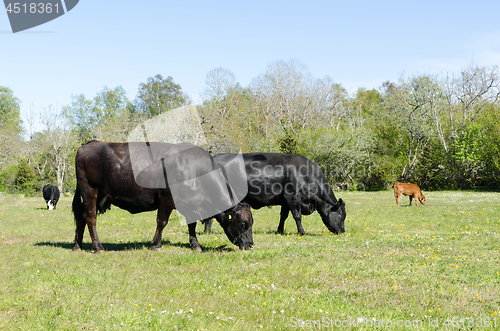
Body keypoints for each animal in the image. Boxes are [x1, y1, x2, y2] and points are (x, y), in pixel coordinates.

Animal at [73, 141, 254, 253]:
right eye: (243, 224)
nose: (250, 245)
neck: (194, 169)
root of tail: (89, 144)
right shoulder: (166, 199)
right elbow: (162, 222)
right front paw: (157, 244)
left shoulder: (190, 204)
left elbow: (192, 224)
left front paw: (195, 245)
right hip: (90, 191)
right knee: (90, 218)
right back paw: (98, 247)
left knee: (80, 218)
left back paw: (77, 245)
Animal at [204, 153, 348, 236]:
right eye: (342, 215)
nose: (343, 231)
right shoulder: (293, 197)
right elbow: (297, 216)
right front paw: (301, 232)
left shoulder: (285, 201)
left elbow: (283, 216)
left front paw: (280, 230)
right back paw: (207, 231)